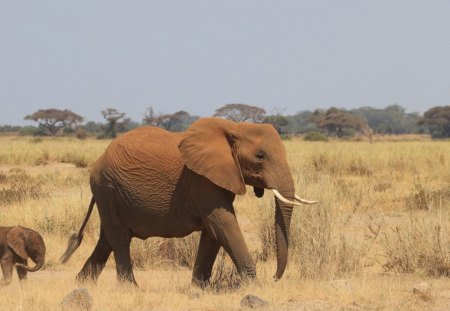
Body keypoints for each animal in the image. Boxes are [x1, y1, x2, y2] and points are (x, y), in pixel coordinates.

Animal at [61, 117, 316, 288]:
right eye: (260, 156)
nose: (275, 277)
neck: (234, 127)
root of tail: (99, 161)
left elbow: (214, 231)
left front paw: (198, 288)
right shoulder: (201, 179)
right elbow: (223, 222)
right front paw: (254, 286)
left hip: (111, 194)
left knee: (108, 238)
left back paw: (81, 283)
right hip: (108, 189)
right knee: (119, 237)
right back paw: (129, 289)